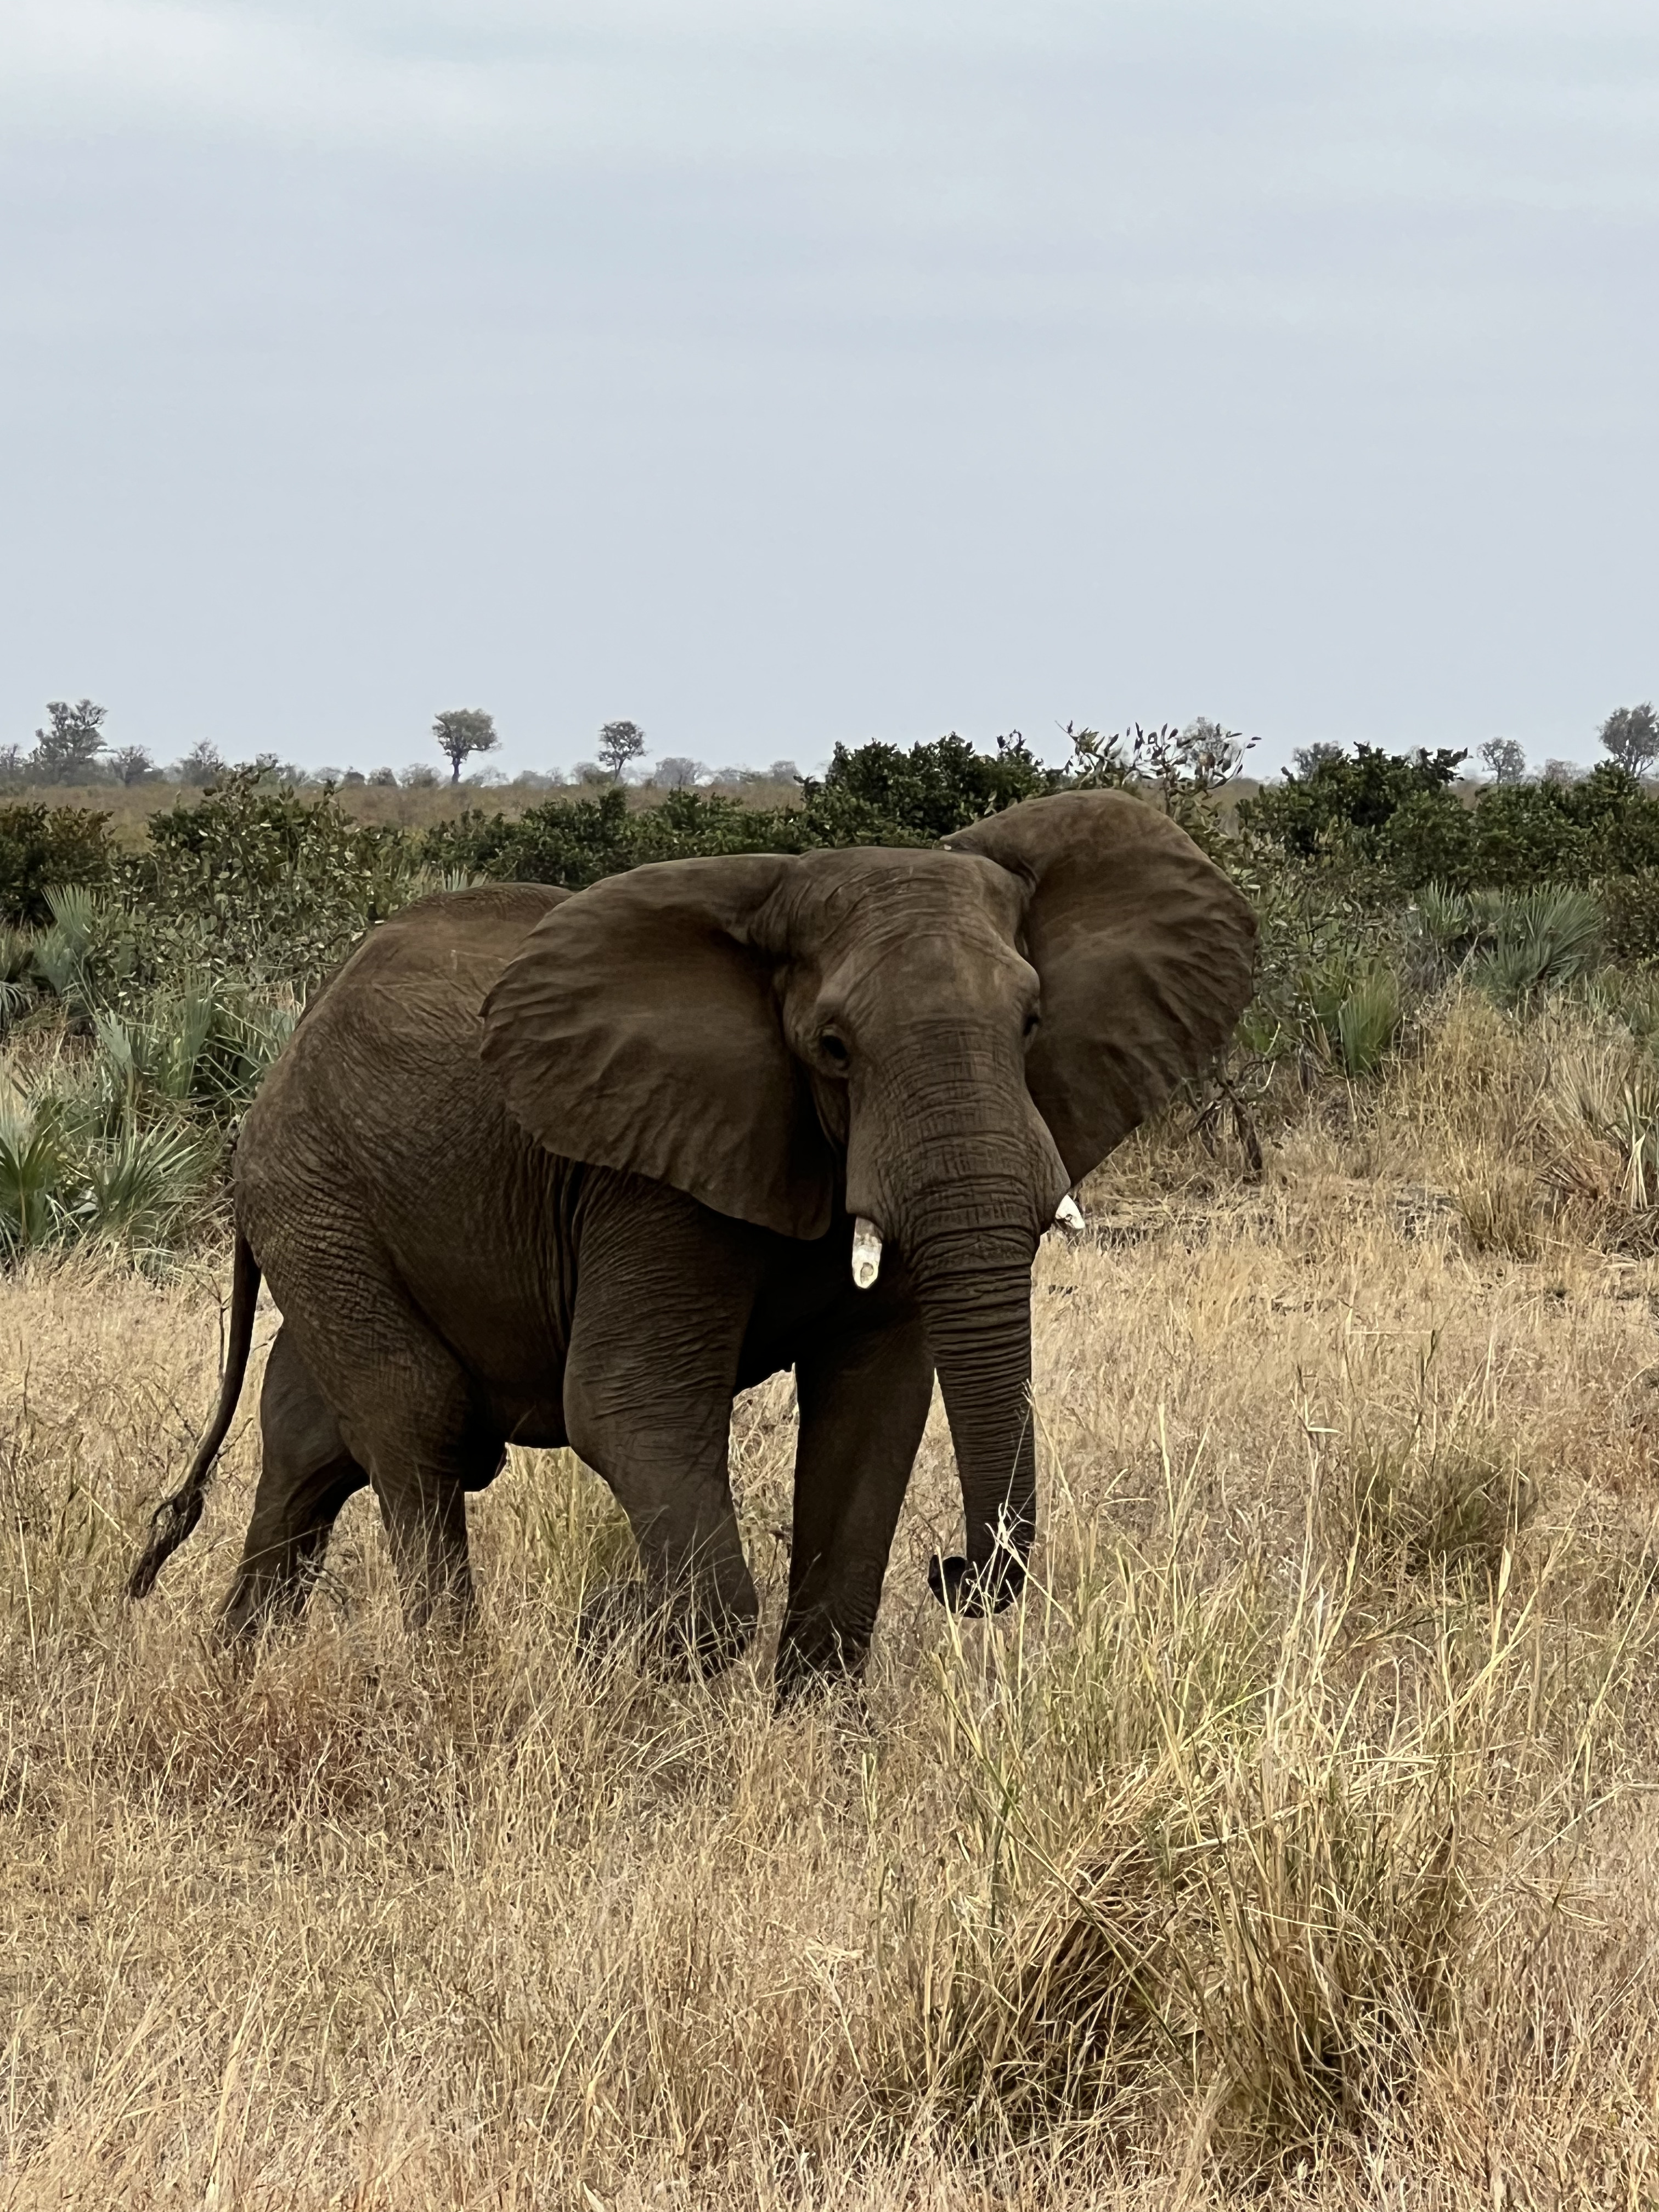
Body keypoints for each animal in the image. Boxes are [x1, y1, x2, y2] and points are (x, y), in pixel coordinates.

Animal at [126, 789, 1256, 1694]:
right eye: (832, 1049)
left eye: (1029, 1024)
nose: (952, 1575)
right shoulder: (647, 1176)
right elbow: (629, 1407)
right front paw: (614, 1631)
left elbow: (872, 1411)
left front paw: (818, 1744)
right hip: (313, 1194)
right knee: (418, 1424)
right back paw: (454, 1693)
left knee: (312, 1437)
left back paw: (231, 1676)